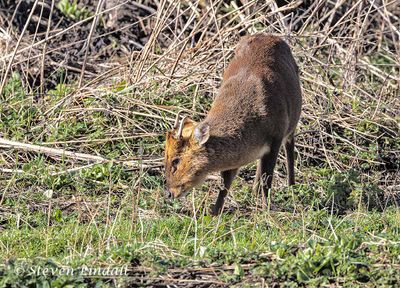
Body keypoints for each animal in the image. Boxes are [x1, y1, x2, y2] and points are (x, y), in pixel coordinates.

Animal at [164, 33, 302, 214]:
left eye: (176, 161)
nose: (169, 193)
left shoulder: (276, 137)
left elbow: (268, 180)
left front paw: (266, 210)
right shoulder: (236, 158)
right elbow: (225, 183)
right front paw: (215, 212)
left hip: (292, 120)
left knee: (289, 146)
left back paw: (291, 185)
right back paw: (254, 192)